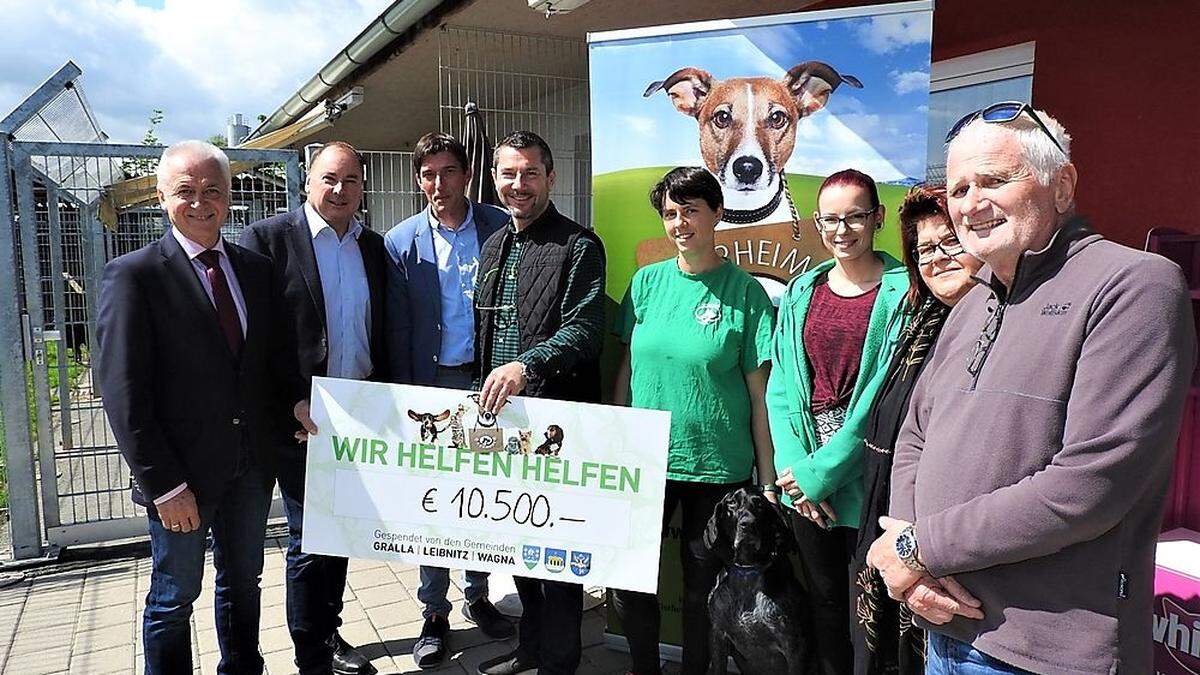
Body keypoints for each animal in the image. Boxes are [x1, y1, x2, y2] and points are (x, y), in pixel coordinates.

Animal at [700, 485, 816, 667]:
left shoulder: (794, 647)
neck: (747, 571)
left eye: (760, 504)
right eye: (731, 503)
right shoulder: (717, 636)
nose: (748, 524)